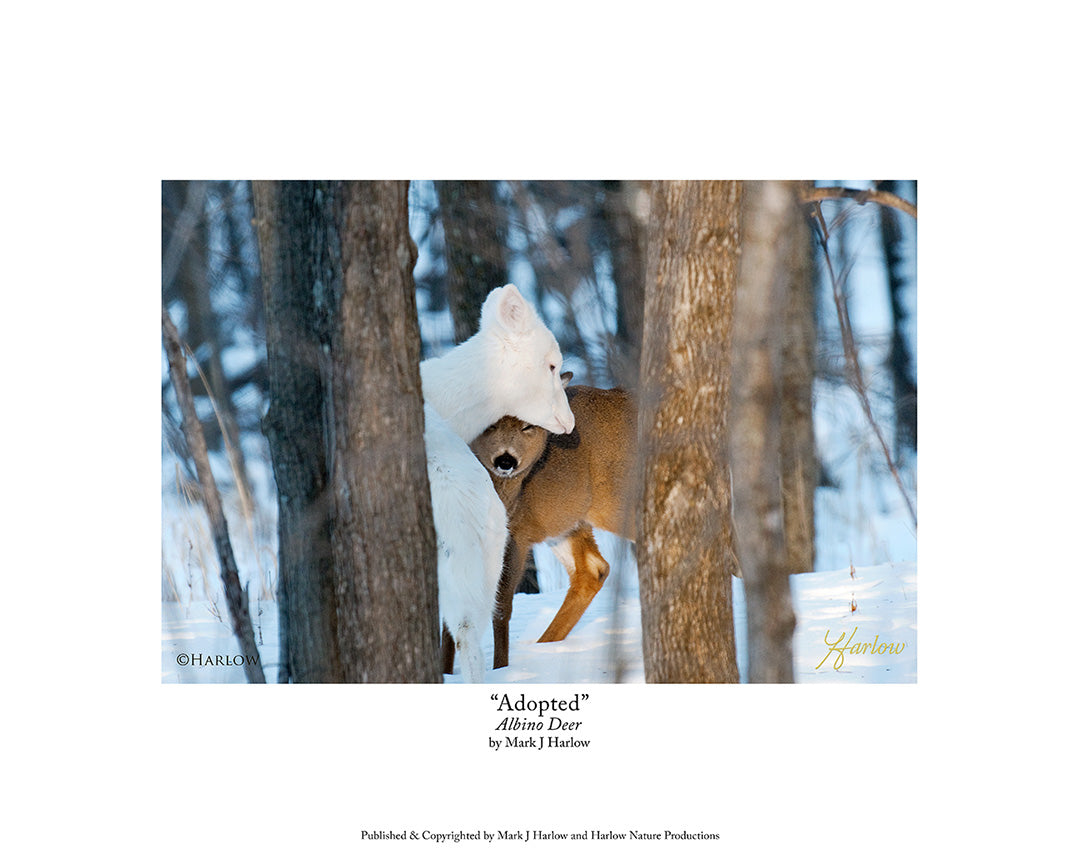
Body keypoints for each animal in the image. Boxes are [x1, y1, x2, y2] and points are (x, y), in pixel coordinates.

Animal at [468, 383, 637, 669]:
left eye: (528, 425)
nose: (505, 461)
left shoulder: (515, 535)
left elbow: (499, 606)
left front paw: (500, 668)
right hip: (567, 523)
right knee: (593, 569)